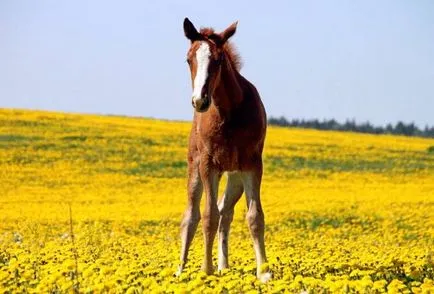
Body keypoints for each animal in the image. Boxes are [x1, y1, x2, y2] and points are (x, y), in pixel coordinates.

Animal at [178, 17, 270, 282]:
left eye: (218, 60)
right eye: (189, 59)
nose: (200, 101)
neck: (229, 114)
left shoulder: (252, 165)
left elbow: (254, 216)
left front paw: (264, 273)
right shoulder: (209, 165)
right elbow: (208, 215)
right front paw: (205, 270)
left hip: (235, 178)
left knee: (225, 212)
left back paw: (224, 267)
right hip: (196, 169)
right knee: (191, 215)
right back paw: (180, 270)